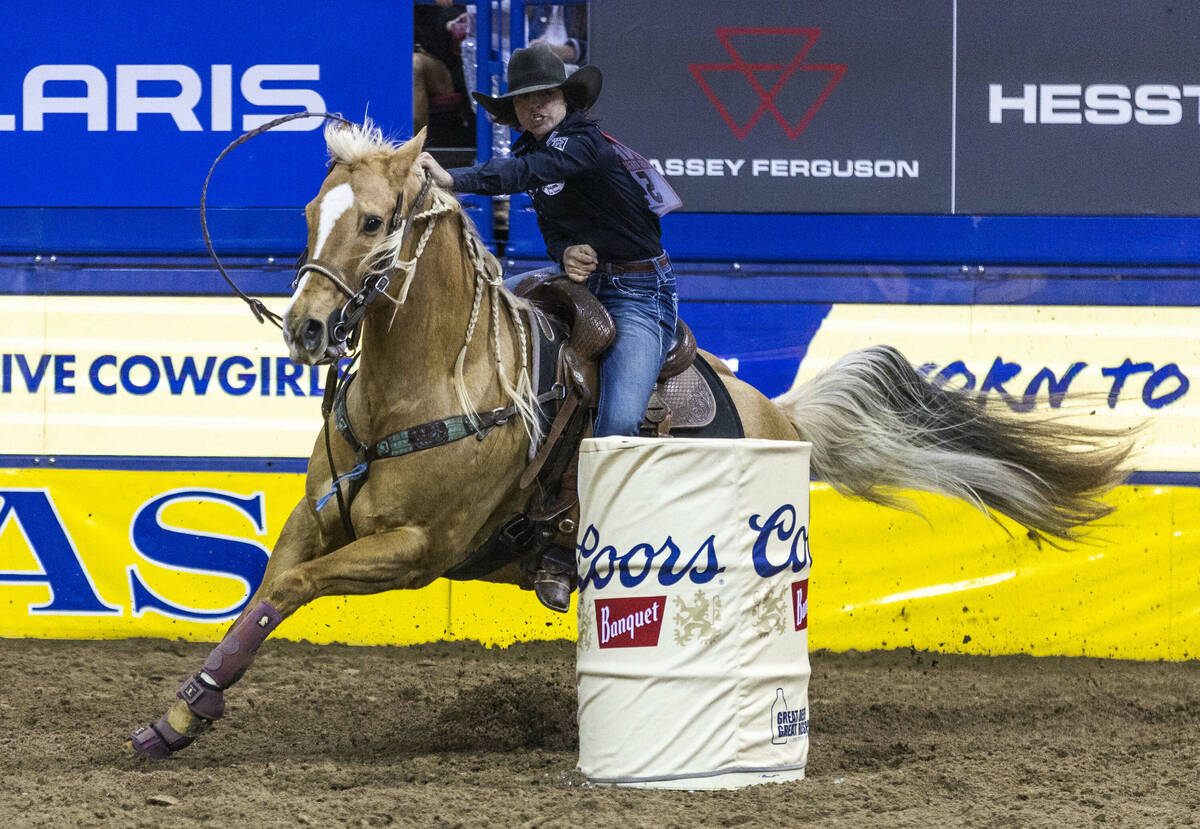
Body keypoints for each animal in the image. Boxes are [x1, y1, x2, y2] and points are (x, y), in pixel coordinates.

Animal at [131, 119, 1132, 763]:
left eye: (374, 221)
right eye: (312, 213)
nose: (305, 328)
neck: (425, 387)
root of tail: (780, 413)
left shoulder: (416, 550)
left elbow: (288, 589)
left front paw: (181, 716)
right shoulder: (318, 518)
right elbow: (264, 593)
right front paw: (176, 718)